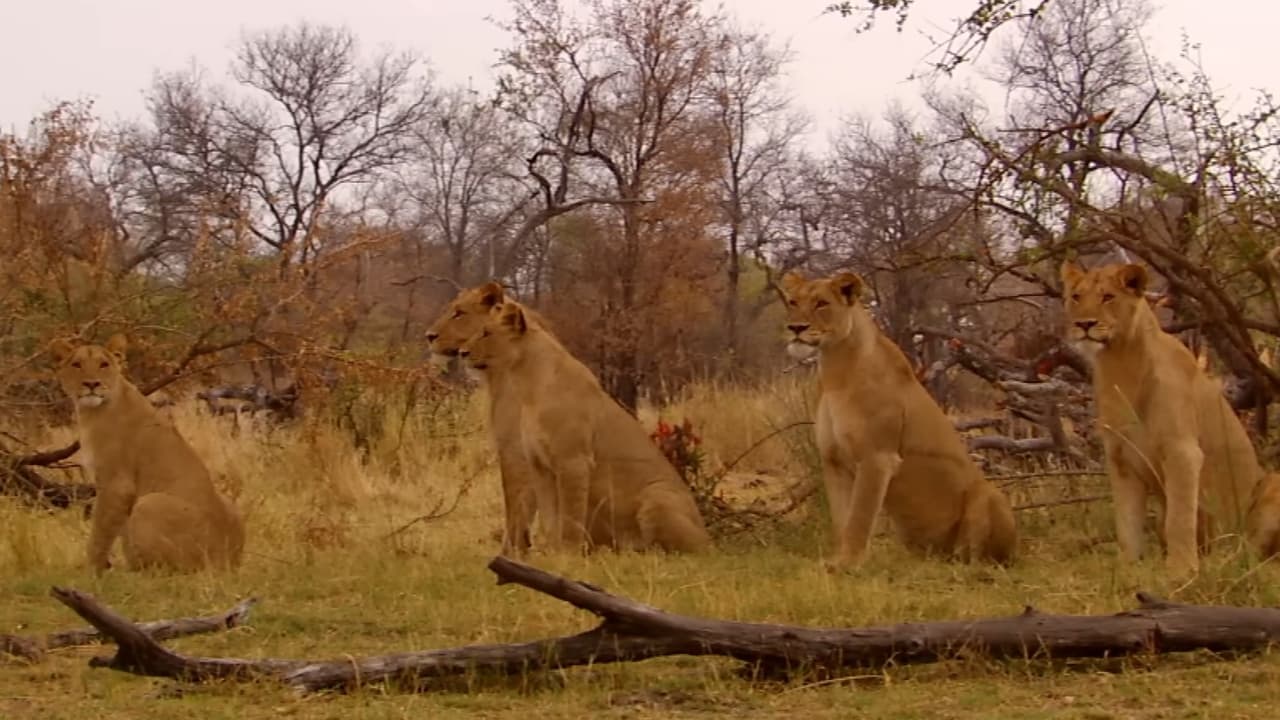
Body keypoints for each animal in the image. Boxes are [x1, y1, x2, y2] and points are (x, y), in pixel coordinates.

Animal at [50, 333, 244, 573]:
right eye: (77, 364)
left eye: (104, 364)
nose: (92, 384)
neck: (92, 411)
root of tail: (226, 563)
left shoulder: (116, 485)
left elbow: (99, 532)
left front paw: (93, 570)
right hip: (229, 504)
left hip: (148, 503)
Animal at [773, 267, 1013, 566]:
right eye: (793, 302)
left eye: (821, 303)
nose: (795, 328)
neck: (835, 372)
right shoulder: (833, 461)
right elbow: (842, 519)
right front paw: (836, 560)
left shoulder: (877, 458)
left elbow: (859, 518)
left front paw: (848, 565)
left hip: (991, 496)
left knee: (982, 556)